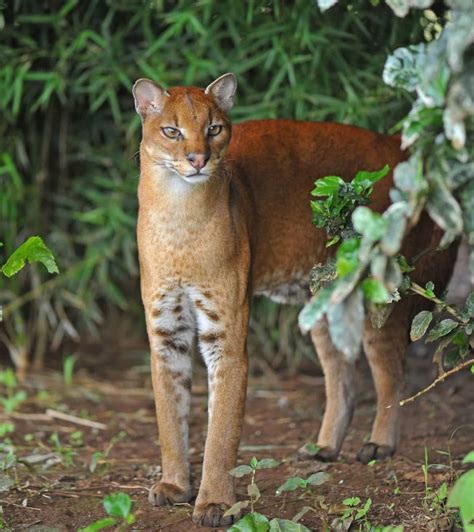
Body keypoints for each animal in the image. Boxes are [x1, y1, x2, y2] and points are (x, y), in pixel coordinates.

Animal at [131, 72, 458, 524]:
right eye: (171, 131)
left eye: (214, 129)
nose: (198, 159)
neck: (179, 217)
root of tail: (394, 142)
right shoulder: (167, 332)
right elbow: (169, 413)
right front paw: (176, 485)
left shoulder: (225, 333)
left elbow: (222, 429)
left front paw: (215, 502)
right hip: (319, 297)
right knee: (343, 374)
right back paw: (325, 446)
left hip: (382, 289)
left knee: (390, 371)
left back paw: (379, 444)